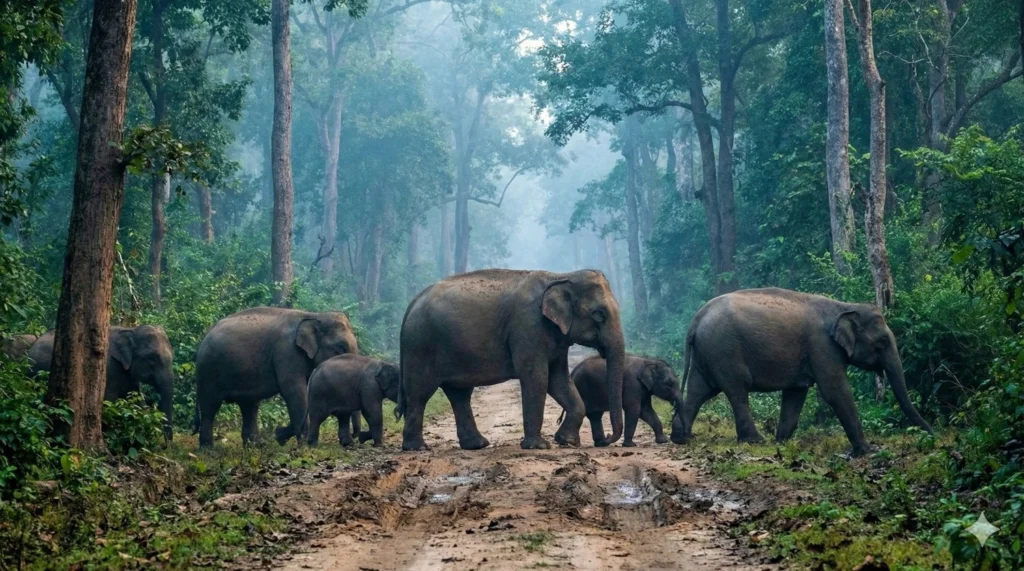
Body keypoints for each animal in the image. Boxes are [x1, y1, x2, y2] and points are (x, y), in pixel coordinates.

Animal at [27, 326, 175, 440]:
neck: (131, 329)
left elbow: (137, 402)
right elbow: (109, 401)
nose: (165, 447)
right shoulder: (110, 369)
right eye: (152, 359)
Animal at [194, 307, 358, 447]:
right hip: (208, 370)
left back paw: (255, 447)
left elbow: (305, 393)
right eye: (341, 347)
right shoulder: (287, 352)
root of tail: (205, 335)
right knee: (210, 406)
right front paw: (295, 442)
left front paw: (280, 436)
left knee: (249, 406)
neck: (314, 315)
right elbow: (294, 393)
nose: (355, 437)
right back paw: (208, 450)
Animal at [397, 269, 626, 451]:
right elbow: (537, 378)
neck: (559, 276)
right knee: (420, 393)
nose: (605, 439)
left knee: (459, 394)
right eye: (599, 314)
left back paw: (477, 445)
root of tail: (412, 302)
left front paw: (566, 441)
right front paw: (538, 446)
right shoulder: (528, 327)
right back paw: (417, 448)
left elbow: (559, 381)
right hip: (420, 346)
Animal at [670, 288, 933, 456]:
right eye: (881, 342)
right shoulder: (822, 346)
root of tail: (696, 319)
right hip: (724, 351)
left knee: (698, 391)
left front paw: (782, 442)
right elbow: (834, 391)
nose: (933, 434)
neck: (844, 306)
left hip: (708, 353)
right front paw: (867, 451)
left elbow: (796, 393)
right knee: (736, 390)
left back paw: (681, 437)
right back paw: (754, 440)